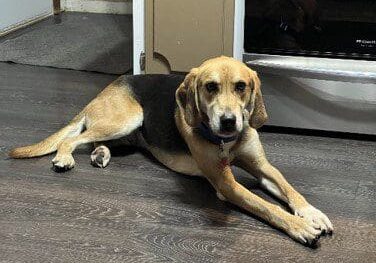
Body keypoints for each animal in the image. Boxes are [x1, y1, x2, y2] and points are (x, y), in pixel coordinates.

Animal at [8, 56, 332, 248]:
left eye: (241, 87)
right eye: (210, 87)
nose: (229, 121)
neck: (227, 142)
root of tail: (109, 86)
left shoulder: (264, 167)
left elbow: (290, 191)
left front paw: (312, 213)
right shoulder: (226, 184)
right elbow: (269, 207)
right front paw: (299, 226)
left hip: (128, 131)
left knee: (89, 141)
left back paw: (100, 154)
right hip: (127, 118)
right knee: (73, 139)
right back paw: (64, 157)